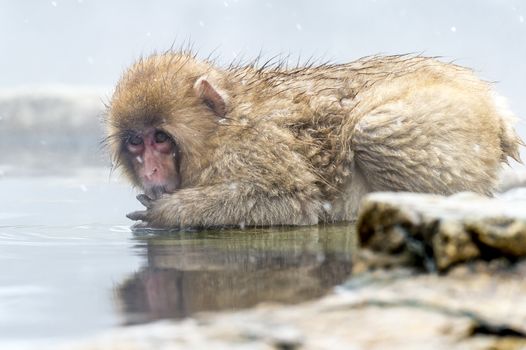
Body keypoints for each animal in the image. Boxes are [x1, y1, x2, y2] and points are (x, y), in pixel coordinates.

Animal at [106, 50, 524, 228]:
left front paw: (167, 212)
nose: (151, 170)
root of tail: (494, 108)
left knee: (370, 132)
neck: (221, 131)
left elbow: (291, 202)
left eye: (160, 137)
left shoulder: (255, 147)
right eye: (136, 142)